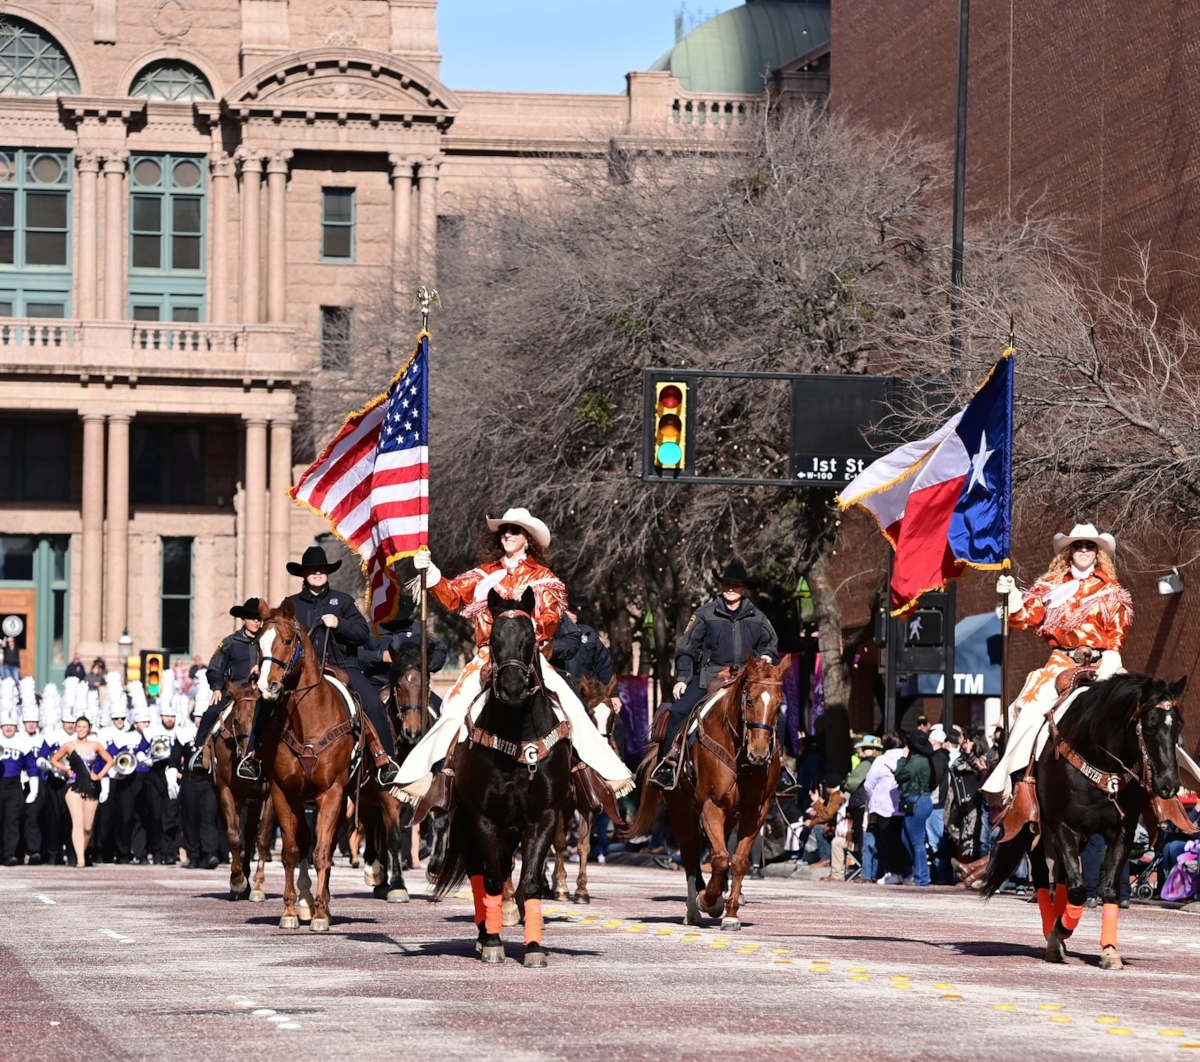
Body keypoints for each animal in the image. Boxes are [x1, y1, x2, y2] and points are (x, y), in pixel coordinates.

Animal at [212, 681, 277, 897]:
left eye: (263, 720)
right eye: (236, 721)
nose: (250, 758)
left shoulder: (270, 794)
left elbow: (262, 837)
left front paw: (257, 886)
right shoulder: (225, 791)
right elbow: (233, 835)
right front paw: (237, 880)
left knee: (250, 837)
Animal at [256, 600, 355, 931]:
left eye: (288, 641)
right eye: (258, 642)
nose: (266, 686)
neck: (309, 722)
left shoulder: (333, 793)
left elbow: (322, 853)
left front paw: (322, 914)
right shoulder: (283, 792)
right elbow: (291, 851)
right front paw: (290, 911)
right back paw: (304, 902)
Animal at [432, 588, 571, 969]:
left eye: (530, 638)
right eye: (493, 639)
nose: (511, 688)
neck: (518, 735)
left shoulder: (543, 818)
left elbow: (531, 882)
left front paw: (535, 947)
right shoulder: (484, 818)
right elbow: (492, 879)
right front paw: (493, 942)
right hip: (468, 823)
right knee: (480, 873)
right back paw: (484, 936)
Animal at [633, 652, 792, 926]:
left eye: (778, 704)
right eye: (750, 700)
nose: (759, 754)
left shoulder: (755, 812)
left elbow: (737, 860)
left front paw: (730, 913)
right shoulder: (711, 805)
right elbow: (718, 858)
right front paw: (708, 900)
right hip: (682, 808)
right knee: (690, 852)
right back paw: (693, 909)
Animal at [984, 676, 1190, 964]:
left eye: (1178, 725)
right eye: (1149, 725)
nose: (1169, 785)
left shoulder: (1121, 832)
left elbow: (1108, 889)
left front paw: (1109, 950)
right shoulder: (1063, 827)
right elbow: (1078, 891)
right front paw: (1061, 929)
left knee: (1060, 877)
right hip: (1035, 829)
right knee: (1042, 877)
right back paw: (1052, 933)